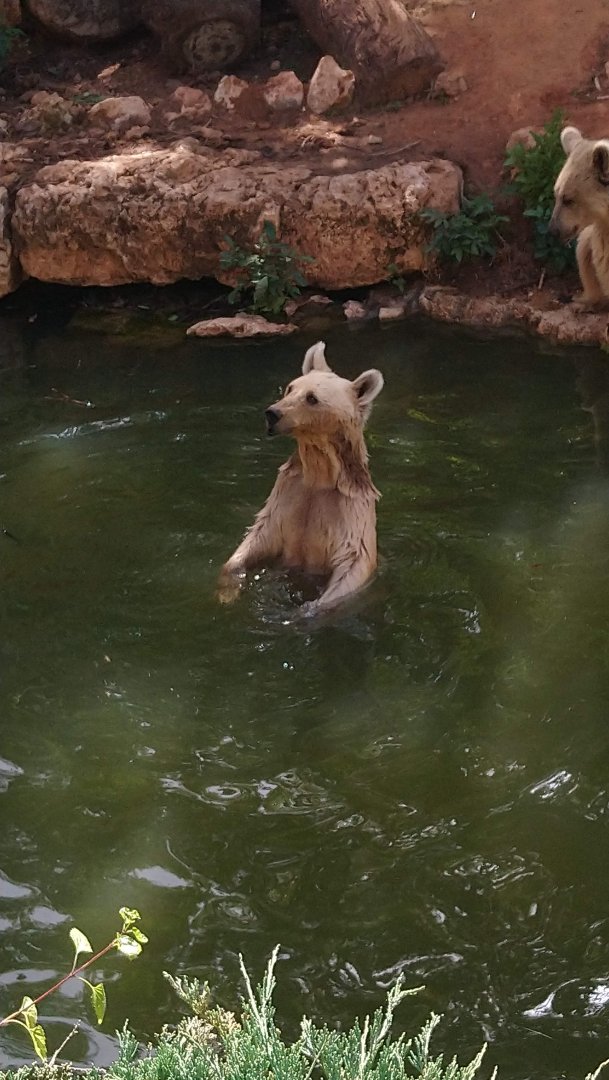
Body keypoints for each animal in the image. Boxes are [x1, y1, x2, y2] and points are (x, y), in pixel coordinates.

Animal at [217, 340, 384, 615]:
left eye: (312, 398)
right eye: (290, 387)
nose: (272, 413)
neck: (320, 474)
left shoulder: (349, 512)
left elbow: (352, 562)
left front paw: (310, 609)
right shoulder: (287, 496)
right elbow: (258, 536)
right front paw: (228, 588)